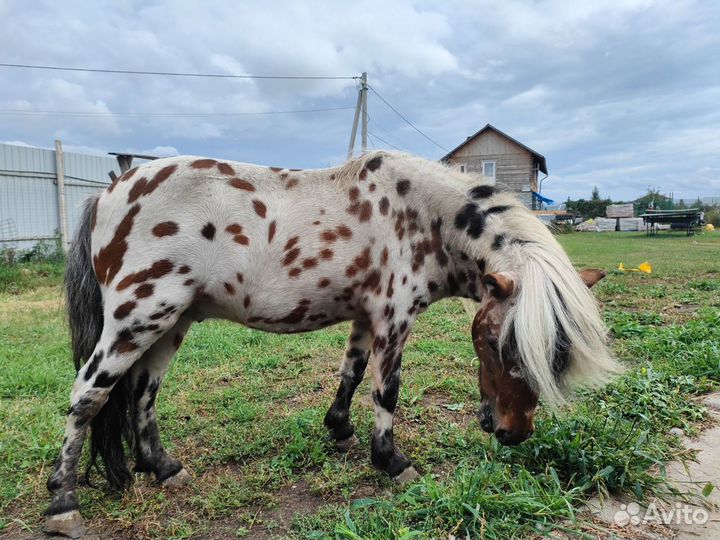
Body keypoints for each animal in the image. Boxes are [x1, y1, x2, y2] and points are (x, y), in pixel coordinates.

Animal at [45, 151, 620, 536]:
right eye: (494, 342)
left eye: (556, 356)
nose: (513, 433)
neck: (420, 216)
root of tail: (110, 191)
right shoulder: (394, 317)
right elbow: (386, 390)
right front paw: (390, 460)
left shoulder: (366, 317)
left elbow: (352, 373)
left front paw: (339, 429)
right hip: (139, 318)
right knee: (88, 396)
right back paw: (62, 504)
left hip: (171, 322)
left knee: (143, 392)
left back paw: (162, 468)